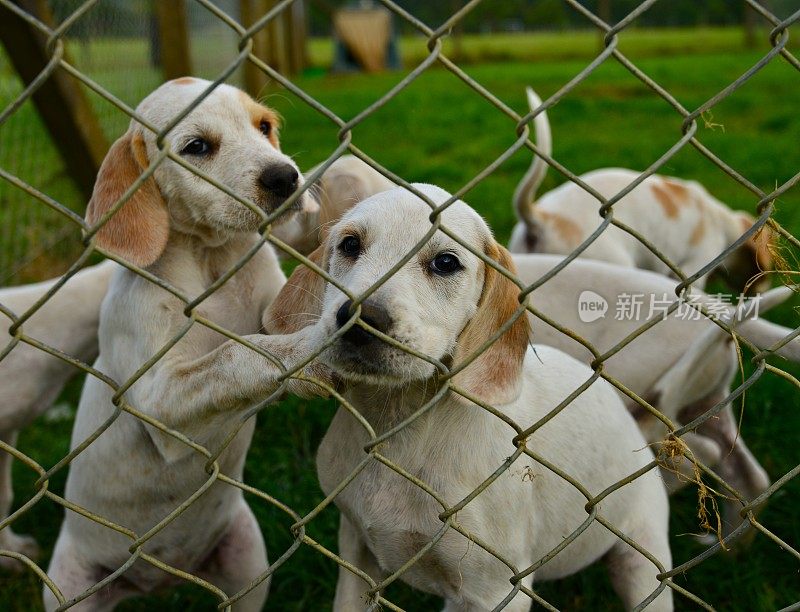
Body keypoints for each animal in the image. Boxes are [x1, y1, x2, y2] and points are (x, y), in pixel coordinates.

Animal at [42, 79, 324, 608]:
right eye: (196, 147)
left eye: (264, 127)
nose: (286, 177)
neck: (210, 257)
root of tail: (158, 581)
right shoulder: (160, 398)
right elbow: (237, 354)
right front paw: (312, 353)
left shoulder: (273, 310)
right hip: (69, 588)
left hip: (247, 557)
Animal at [268, 185, 676, 612]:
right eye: (349, 244)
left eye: (446, 262)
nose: (359, 318)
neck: (401, 424)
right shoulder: (356, 555)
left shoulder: (494, 589)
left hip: (642, 561)